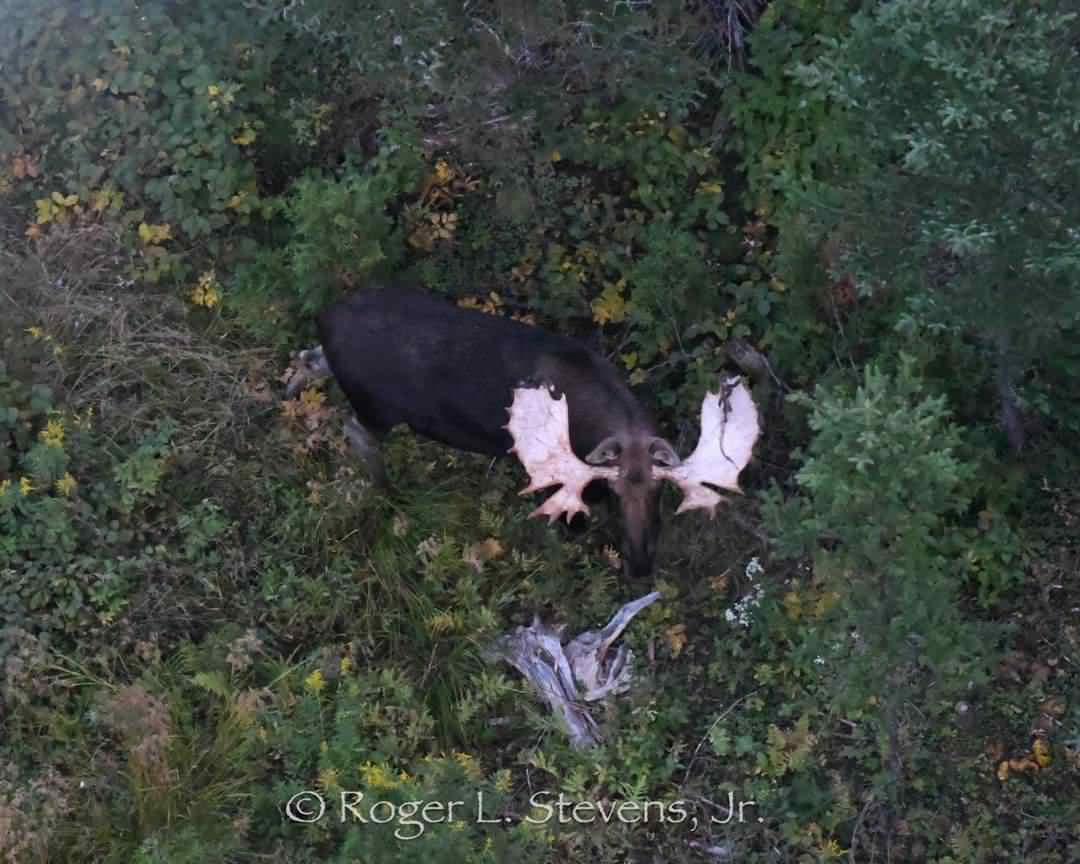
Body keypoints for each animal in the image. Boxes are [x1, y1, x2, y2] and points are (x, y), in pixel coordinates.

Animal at [285, 289, 760, 578]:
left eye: (660, 489)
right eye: (615, 490)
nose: (641, 565)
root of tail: (324, 315)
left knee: (309, 357)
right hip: (377, 409)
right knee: (356, 430)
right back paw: (388, 492)